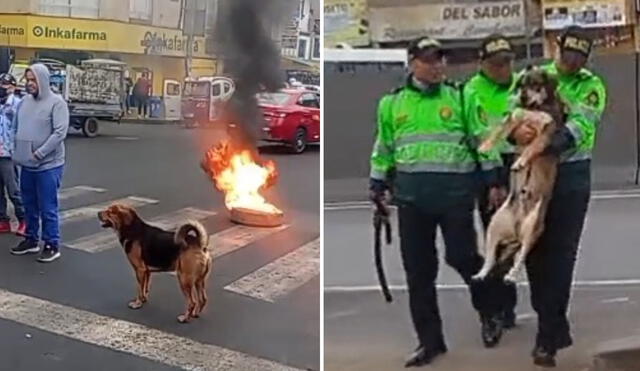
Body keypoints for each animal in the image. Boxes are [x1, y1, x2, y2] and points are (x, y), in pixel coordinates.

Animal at [470, 67, 564, 282]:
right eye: (521, 84)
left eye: (535, 84)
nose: (522, 96)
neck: (536, 108)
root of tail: (517, 228)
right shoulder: (515, 119)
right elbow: (500, 130)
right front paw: (486, 146)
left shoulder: (547, 133)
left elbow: (532, 147)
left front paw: (521, 162)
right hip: (494, 227)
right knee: (491, 259)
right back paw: (481, 274)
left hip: (532, 230)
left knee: (520, 258)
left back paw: (512, 275)